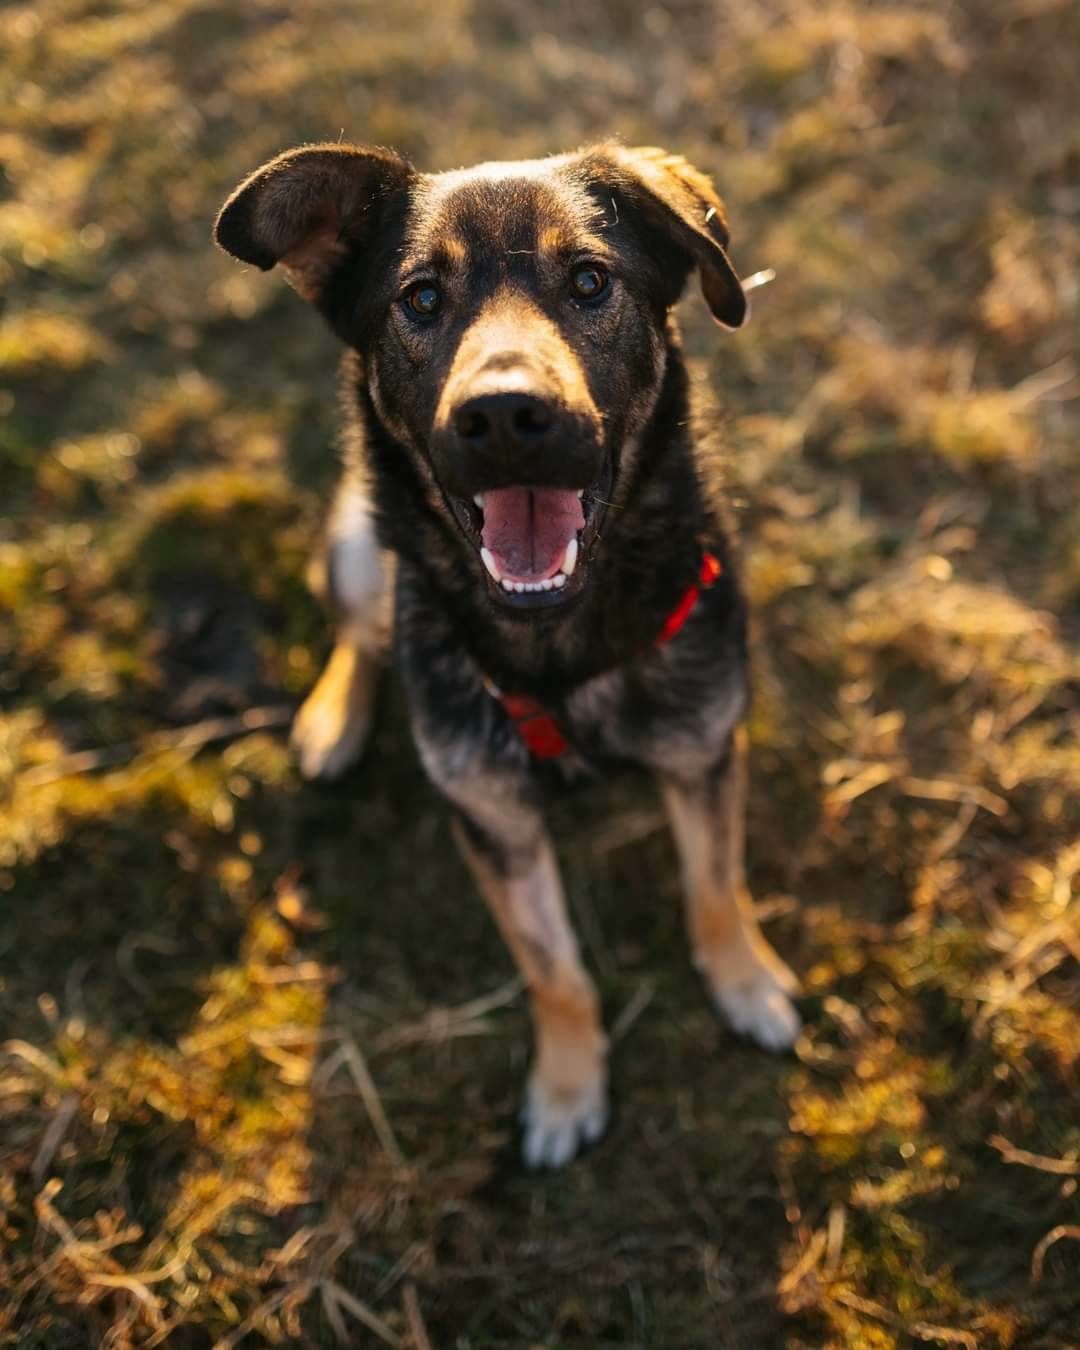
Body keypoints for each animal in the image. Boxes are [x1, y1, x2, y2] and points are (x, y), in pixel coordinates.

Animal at [213, 142, 799, 1166]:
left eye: (590, 281)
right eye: (420, 298)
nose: (503, 417)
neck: (557, 651)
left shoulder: (703, 753)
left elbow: (715, 886)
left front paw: (745, 983)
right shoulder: (493, 821)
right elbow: (553, 968)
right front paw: (567, 1087)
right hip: (359, 541)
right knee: (364, 632)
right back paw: (333, 719)